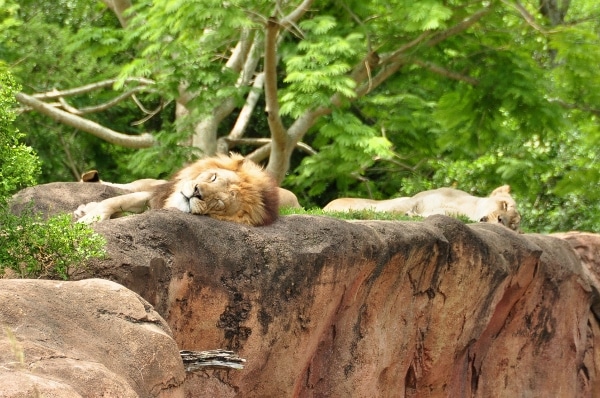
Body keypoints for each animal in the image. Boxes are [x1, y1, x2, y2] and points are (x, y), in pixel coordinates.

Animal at [74, 153, 278, 227]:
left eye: (219, 203)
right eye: (213, 177)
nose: (197, 191)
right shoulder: (154, 195)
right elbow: (113, 201)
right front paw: (89, 218)